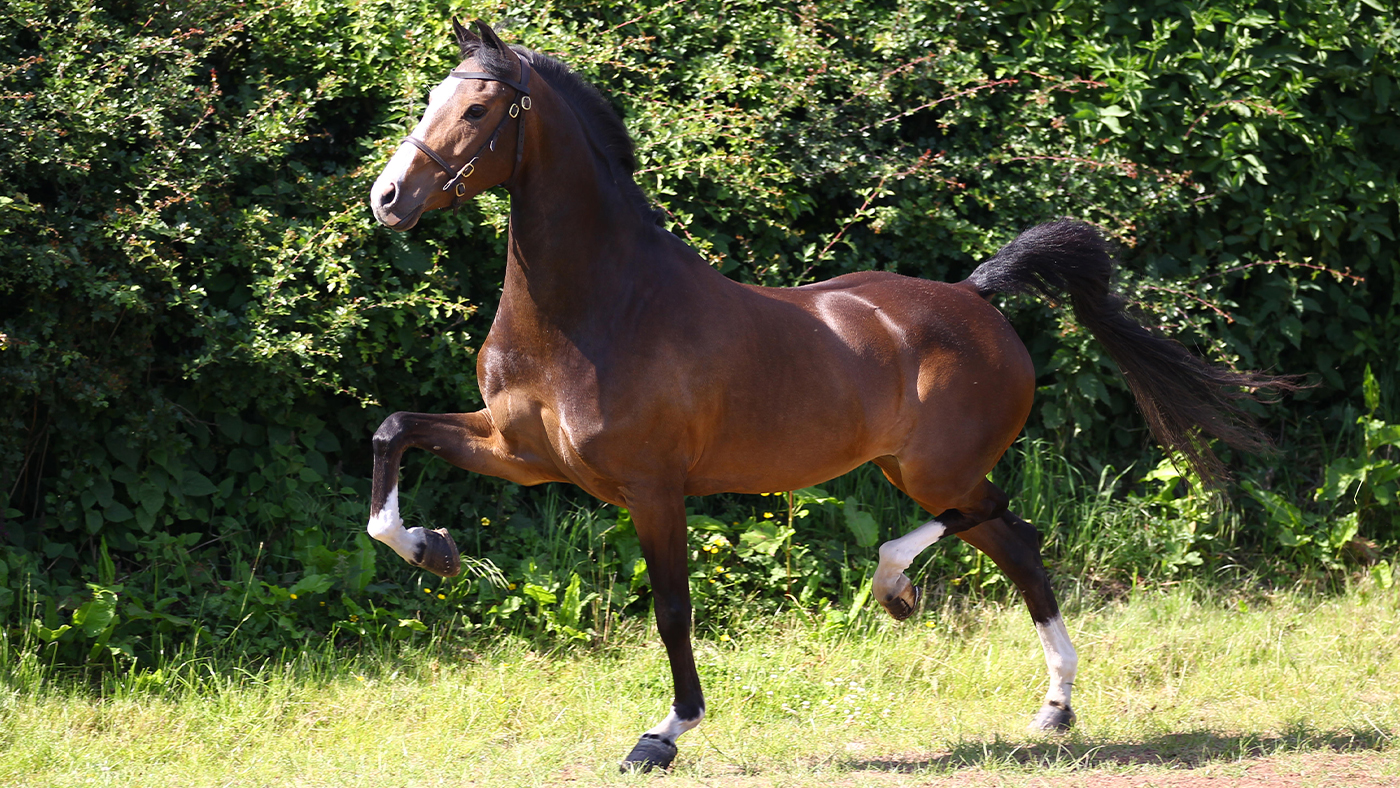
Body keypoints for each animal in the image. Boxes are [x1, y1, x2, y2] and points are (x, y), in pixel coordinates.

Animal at [366, 20, 1293, 778]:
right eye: (433, 97)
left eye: (478, 110)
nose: (387, 199)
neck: (595, 308)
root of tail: (979, 297)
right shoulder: (520, 454)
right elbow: (392, 434)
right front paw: (433, 548)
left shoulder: (652, 489)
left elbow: (672, 611)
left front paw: (663, 735)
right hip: (918, 470)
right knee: (1019, 545)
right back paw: (1053, 709)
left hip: (934, 471)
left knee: (997, 519)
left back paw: (897, 589)